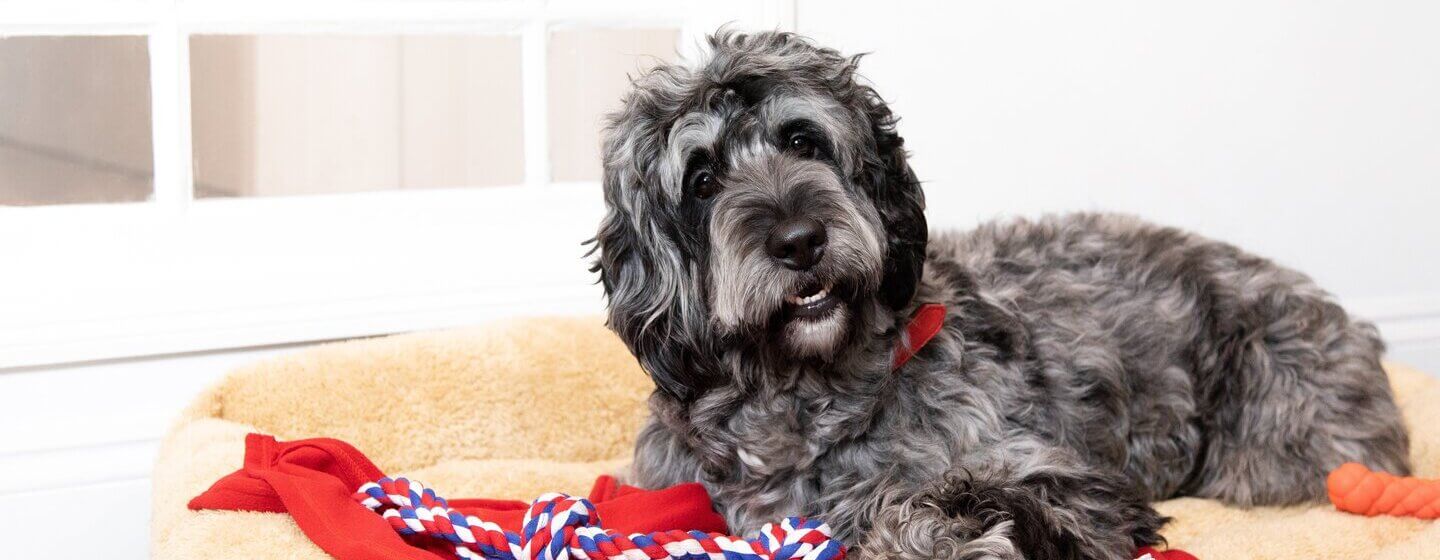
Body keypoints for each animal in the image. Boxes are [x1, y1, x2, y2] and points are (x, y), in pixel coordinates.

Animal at [587, 31, 1405, 558]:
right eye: (701, 179)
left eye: (801, 141)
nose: (799, 240)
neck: (808, 400)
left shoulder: (1059, 478)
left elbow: (946, 502)